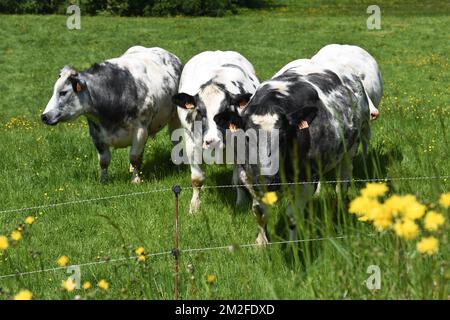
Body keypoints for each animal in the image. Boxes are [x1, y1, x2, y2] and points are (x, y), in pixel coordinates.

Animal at [41, 46, 183, 184]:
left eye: (63, 92)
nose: (44, 116)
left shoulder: (140, 130)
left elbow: (134, 157)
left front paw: (135, 180)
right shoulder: (96, 134)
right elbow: (104, 161)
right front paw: (104, 181)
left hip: (175, 118)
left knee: (175, 140)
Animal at [171, 50, 260, 214]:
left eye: (225, 111)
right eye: (199, 111)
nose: (212, 141)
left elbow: (242, 177)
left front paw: (242, 202)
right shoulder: (191, 143)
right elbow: (197, 178)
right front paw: (194, 207)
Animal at [213, 58, 370, 245]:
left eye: (283, 137)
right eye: (247, 138)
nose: (268, 179)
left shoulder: (306, 181)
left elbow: (292, 216)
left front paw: (292, 244)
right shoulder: (249, 177)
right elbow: (259, 212)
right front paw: (261, 242)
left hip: (350, 148)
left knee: (343, 181)